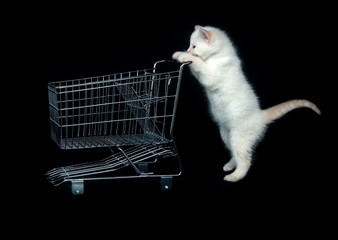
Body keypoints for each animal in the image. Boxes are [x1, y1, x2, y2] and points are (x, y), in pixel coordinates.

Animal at [173, 24, 320, 182]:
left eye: (193, 46)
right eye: (189, 45)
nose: (188, 50)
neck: (219, 56)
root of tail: (260, 116)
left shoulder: (210, 73)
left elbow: (198, 63)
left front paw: (183, 55)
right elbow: (197, 66)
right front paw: (180, 55)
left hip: (239, 138)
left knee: (245, 160)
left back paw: (235, 176)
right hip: (226, 135)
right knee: (234, 154)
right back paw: (230, 165)